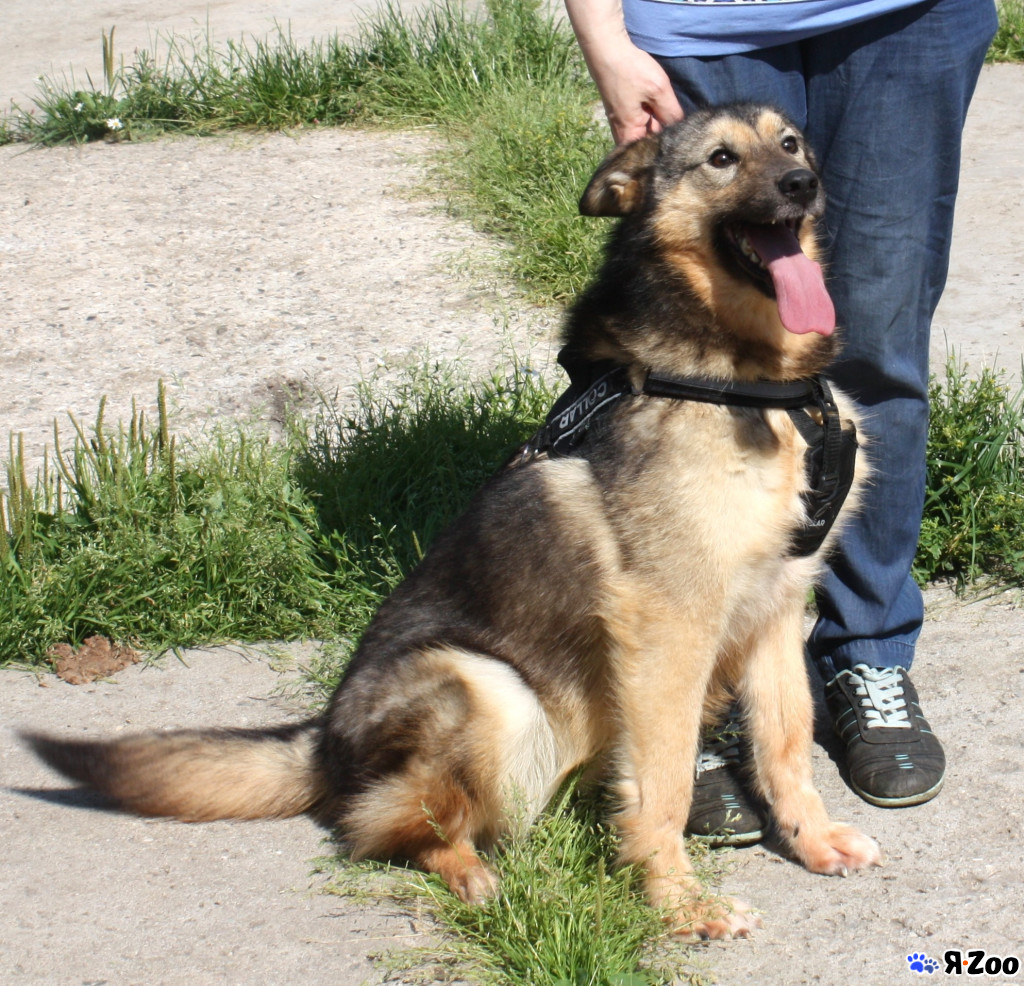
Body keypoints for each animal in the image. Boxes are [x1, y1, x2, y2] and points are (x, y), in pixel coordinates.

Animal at [25, 104, 881, 940]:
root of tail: (324, 742)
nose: (803, 184)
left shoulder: (776, 605)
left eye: (789, 142)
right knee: (382, 825)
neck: (754, 384)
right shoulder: (671, 624)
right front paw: (678, 903)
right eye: (722, 160)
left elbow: (786, 741)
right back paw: (467, 873)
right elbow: (664, 781)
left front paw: (811, 840)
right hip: (486, 688)